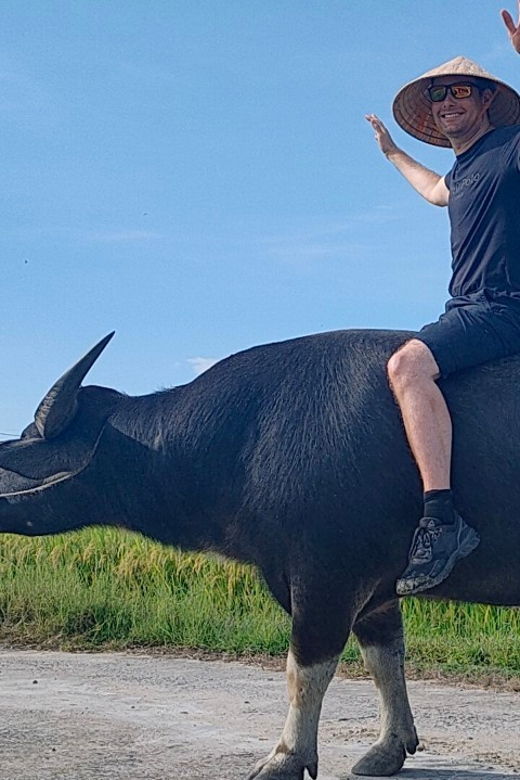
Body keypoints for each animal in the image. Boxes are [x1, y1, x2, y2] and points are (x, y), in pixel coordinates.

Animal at [0, 330, 519, 779]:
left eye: (29, 434)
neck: (242, 444)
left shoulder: (326, 576)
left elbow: (304, 670)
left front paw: (284, 758)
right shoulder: (377, 591)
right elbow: (384, 661)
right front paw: (388, 749)